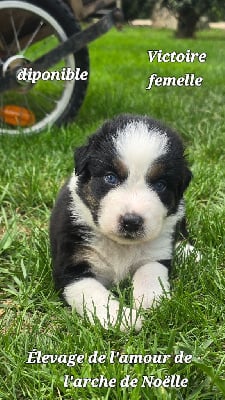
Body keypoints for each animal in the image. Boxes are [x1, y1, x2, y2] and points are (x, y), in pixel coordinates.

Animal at [50, 114, 192, 330]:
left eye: (160, 185)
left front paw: (153, 302)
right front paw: (123, 318)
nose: (132, 222)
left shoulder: (156, 253)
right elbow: (95, 296)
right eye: (110, 178)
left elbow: (150, 273)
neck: (120, 246)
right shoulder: (71, 269)